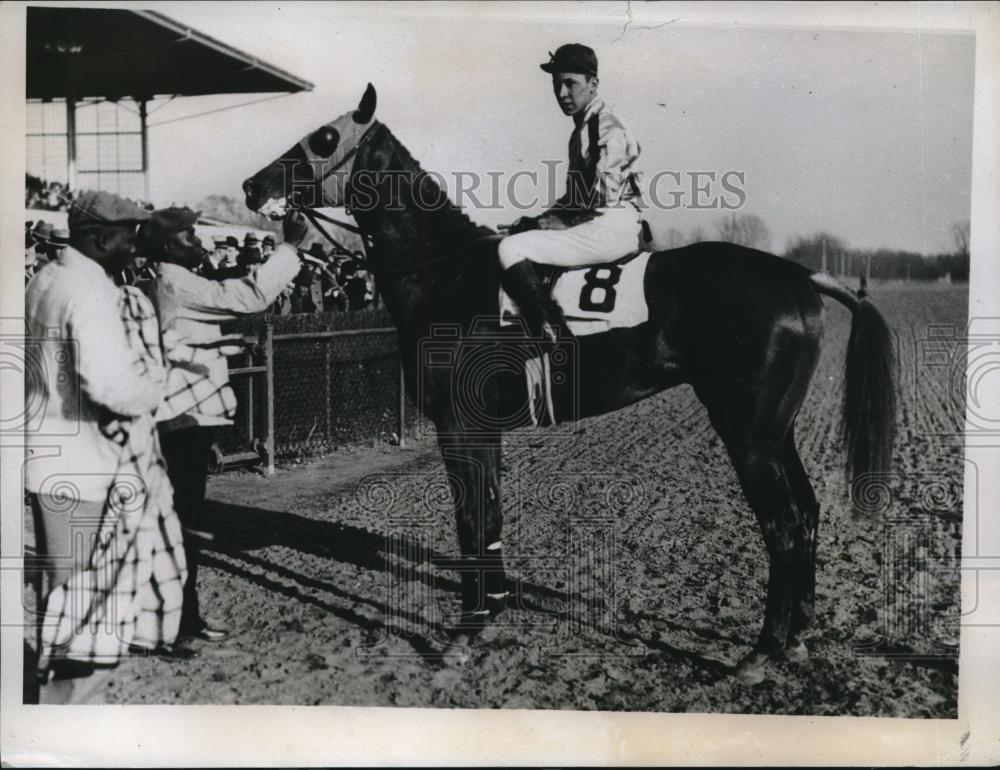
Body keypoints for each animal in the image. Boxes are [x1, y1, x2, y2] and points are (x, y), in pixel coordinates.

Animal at [244, 85, 900, 684]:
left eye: (325, 137)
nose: (252, 186)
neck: (446, 273)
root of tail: (798, 275)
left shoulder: (458, 426)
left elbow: (470, 520)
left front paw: (465, 631)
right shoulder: (482, 430)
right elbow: (489, 519)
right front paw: (492, 611)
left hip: (747, 434)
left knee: (783, 526)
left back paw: (760, 654)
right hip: (775, 430)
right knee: (808, 512)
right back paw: (796, 640)